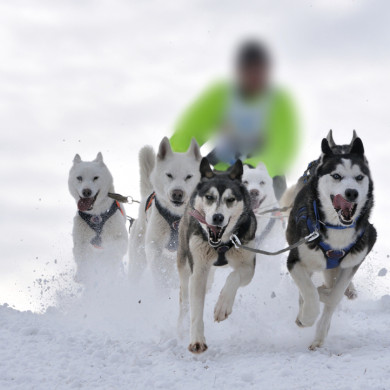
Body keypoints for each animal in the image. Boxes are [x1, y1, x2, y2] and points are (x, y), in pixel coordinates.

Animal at [68, 154, 127, 284]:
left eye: (95, 177)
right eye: (79, 178)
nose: (86, 191)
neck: (96, 214)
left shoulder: (119, 239)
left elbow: (113, 255)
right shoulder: (81, 242)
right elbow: (83, 259)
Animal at [128, 137, 201, 286]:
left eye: (188, 176)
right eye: (169, 175)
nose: (177, 193)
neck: (176, 216)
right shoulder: (155, 250)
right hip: (139, 257)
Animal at [176, 158, 256, 354]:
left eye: (230, 199)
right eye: (209, 197)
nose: (217, 217)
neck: (220, 245)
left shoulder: (248, 265)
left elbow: (233, 277)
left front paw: (222, 306)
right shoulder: (198, 271)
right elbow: (196, 309)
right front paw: (197, 341)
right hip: (185, 265)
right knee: (185, 301)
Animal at [286, 135, 378, 350]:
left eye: (359, 177)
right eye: (336, 176)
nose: (352, 192)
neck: (337, 229)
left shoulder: (356, 257)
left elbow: (334, 296)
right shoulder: (295, 260)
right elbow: (309, 291)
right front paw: (307, 316)